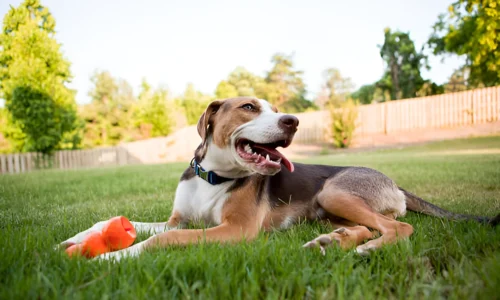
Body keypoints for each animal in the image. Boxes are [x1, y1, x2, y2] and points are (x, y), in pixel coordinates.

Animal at [59, 98, 500, 260]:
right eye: (249, 107)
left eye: (275, 109)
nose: (294, 121)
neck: (213, 178)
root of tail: (393, 181)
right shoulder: (178, 220)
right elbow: (123, 222)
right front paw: (81, 238)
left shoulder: (233, 231)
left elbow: (160, 240)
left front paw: (113, 256)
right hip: (330, 208)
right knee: (369, 225)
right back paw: (333, 241)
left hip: (334, 190)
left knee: (398, 227)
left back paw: (366, 249)